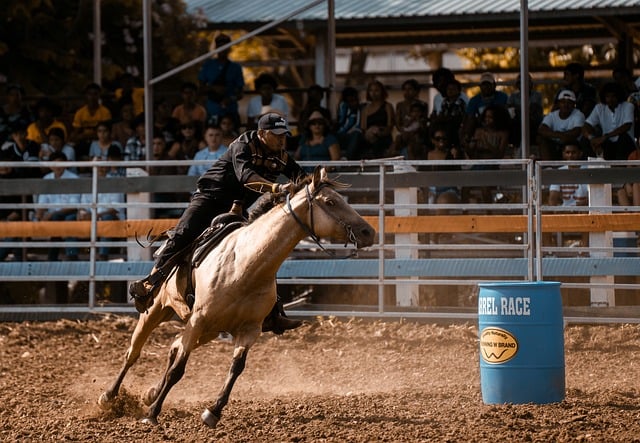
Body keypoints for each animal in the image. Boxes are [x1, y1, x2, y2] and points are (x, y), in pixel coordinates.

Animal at [96, 166, 376, 426]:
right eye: (330, 202)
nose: (368, 232)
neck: (245, 265)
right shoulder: (198, 320)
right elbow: (178, 371)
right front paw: (152, 414)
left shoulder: (248, 329)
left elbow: (236, 368)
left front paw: (212, 412)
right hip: (158, 310)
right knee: (134, 352)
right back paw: (109, 397)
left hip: (208, 330)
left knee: (174, 346)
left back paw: (151, 393)